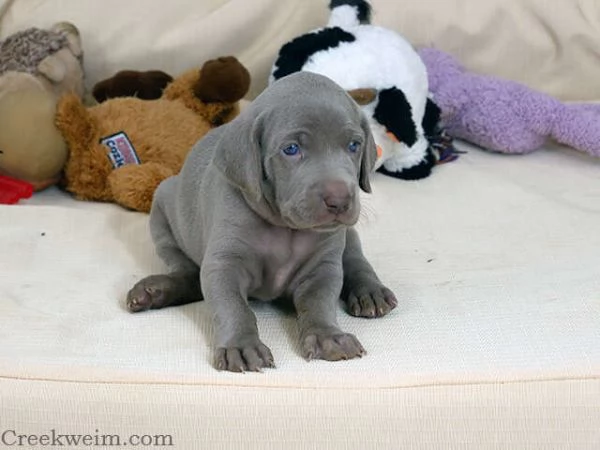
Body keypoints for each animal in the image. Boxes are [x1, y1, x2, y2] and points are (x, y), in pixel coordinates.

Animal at [126, 71, 396, 372]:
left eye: (353, 145)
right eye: (291, 149)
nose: (339, 200)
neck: (286, 229)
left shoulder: (323, 268)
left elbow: (319, 303)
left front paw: (329, 336)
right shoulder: (225, 264)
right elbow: (233, 307)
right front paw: (241, 346)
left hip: (347, 235)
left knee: (355, 259)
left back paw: (370, 291)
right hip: (162, 204)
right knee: (189, 273)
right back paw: (154, 291)